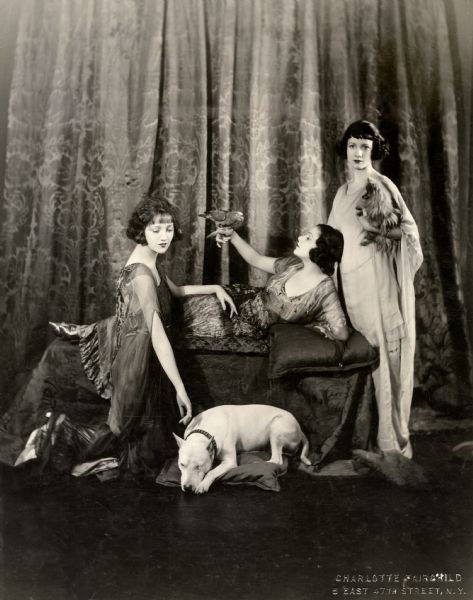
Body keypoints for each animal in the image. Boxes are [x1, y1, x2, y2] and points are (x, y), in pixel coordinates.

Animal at [171, 404, 312, 492]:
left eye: (199, 466)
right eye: (182, 465)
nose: (187, 487)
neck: (205, 430)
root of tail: (299, 428)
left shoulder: (230, 461)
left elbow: (212, 471)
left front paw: (203, 484)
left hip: (277, 425)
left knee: (277, 459)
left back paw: (257, 463)